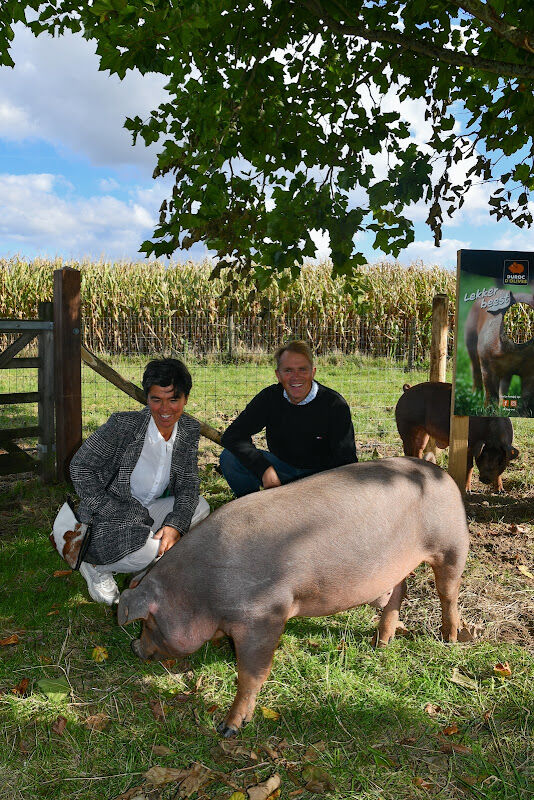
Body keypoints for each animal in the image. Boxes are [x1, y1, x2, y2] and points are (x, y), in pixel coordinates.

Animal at [119, 456, 472, 736]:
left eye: (148, 622)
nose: (134, 647)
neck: (202, 590)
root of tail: (440, 473)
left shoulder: (266, 614)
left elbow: (251, 674)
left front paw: (229, 728)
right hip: (393, 567)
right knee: (400, 591)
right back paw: (380, 643)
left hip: (452, 544)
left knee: (448, 593)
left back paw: (451, 638)